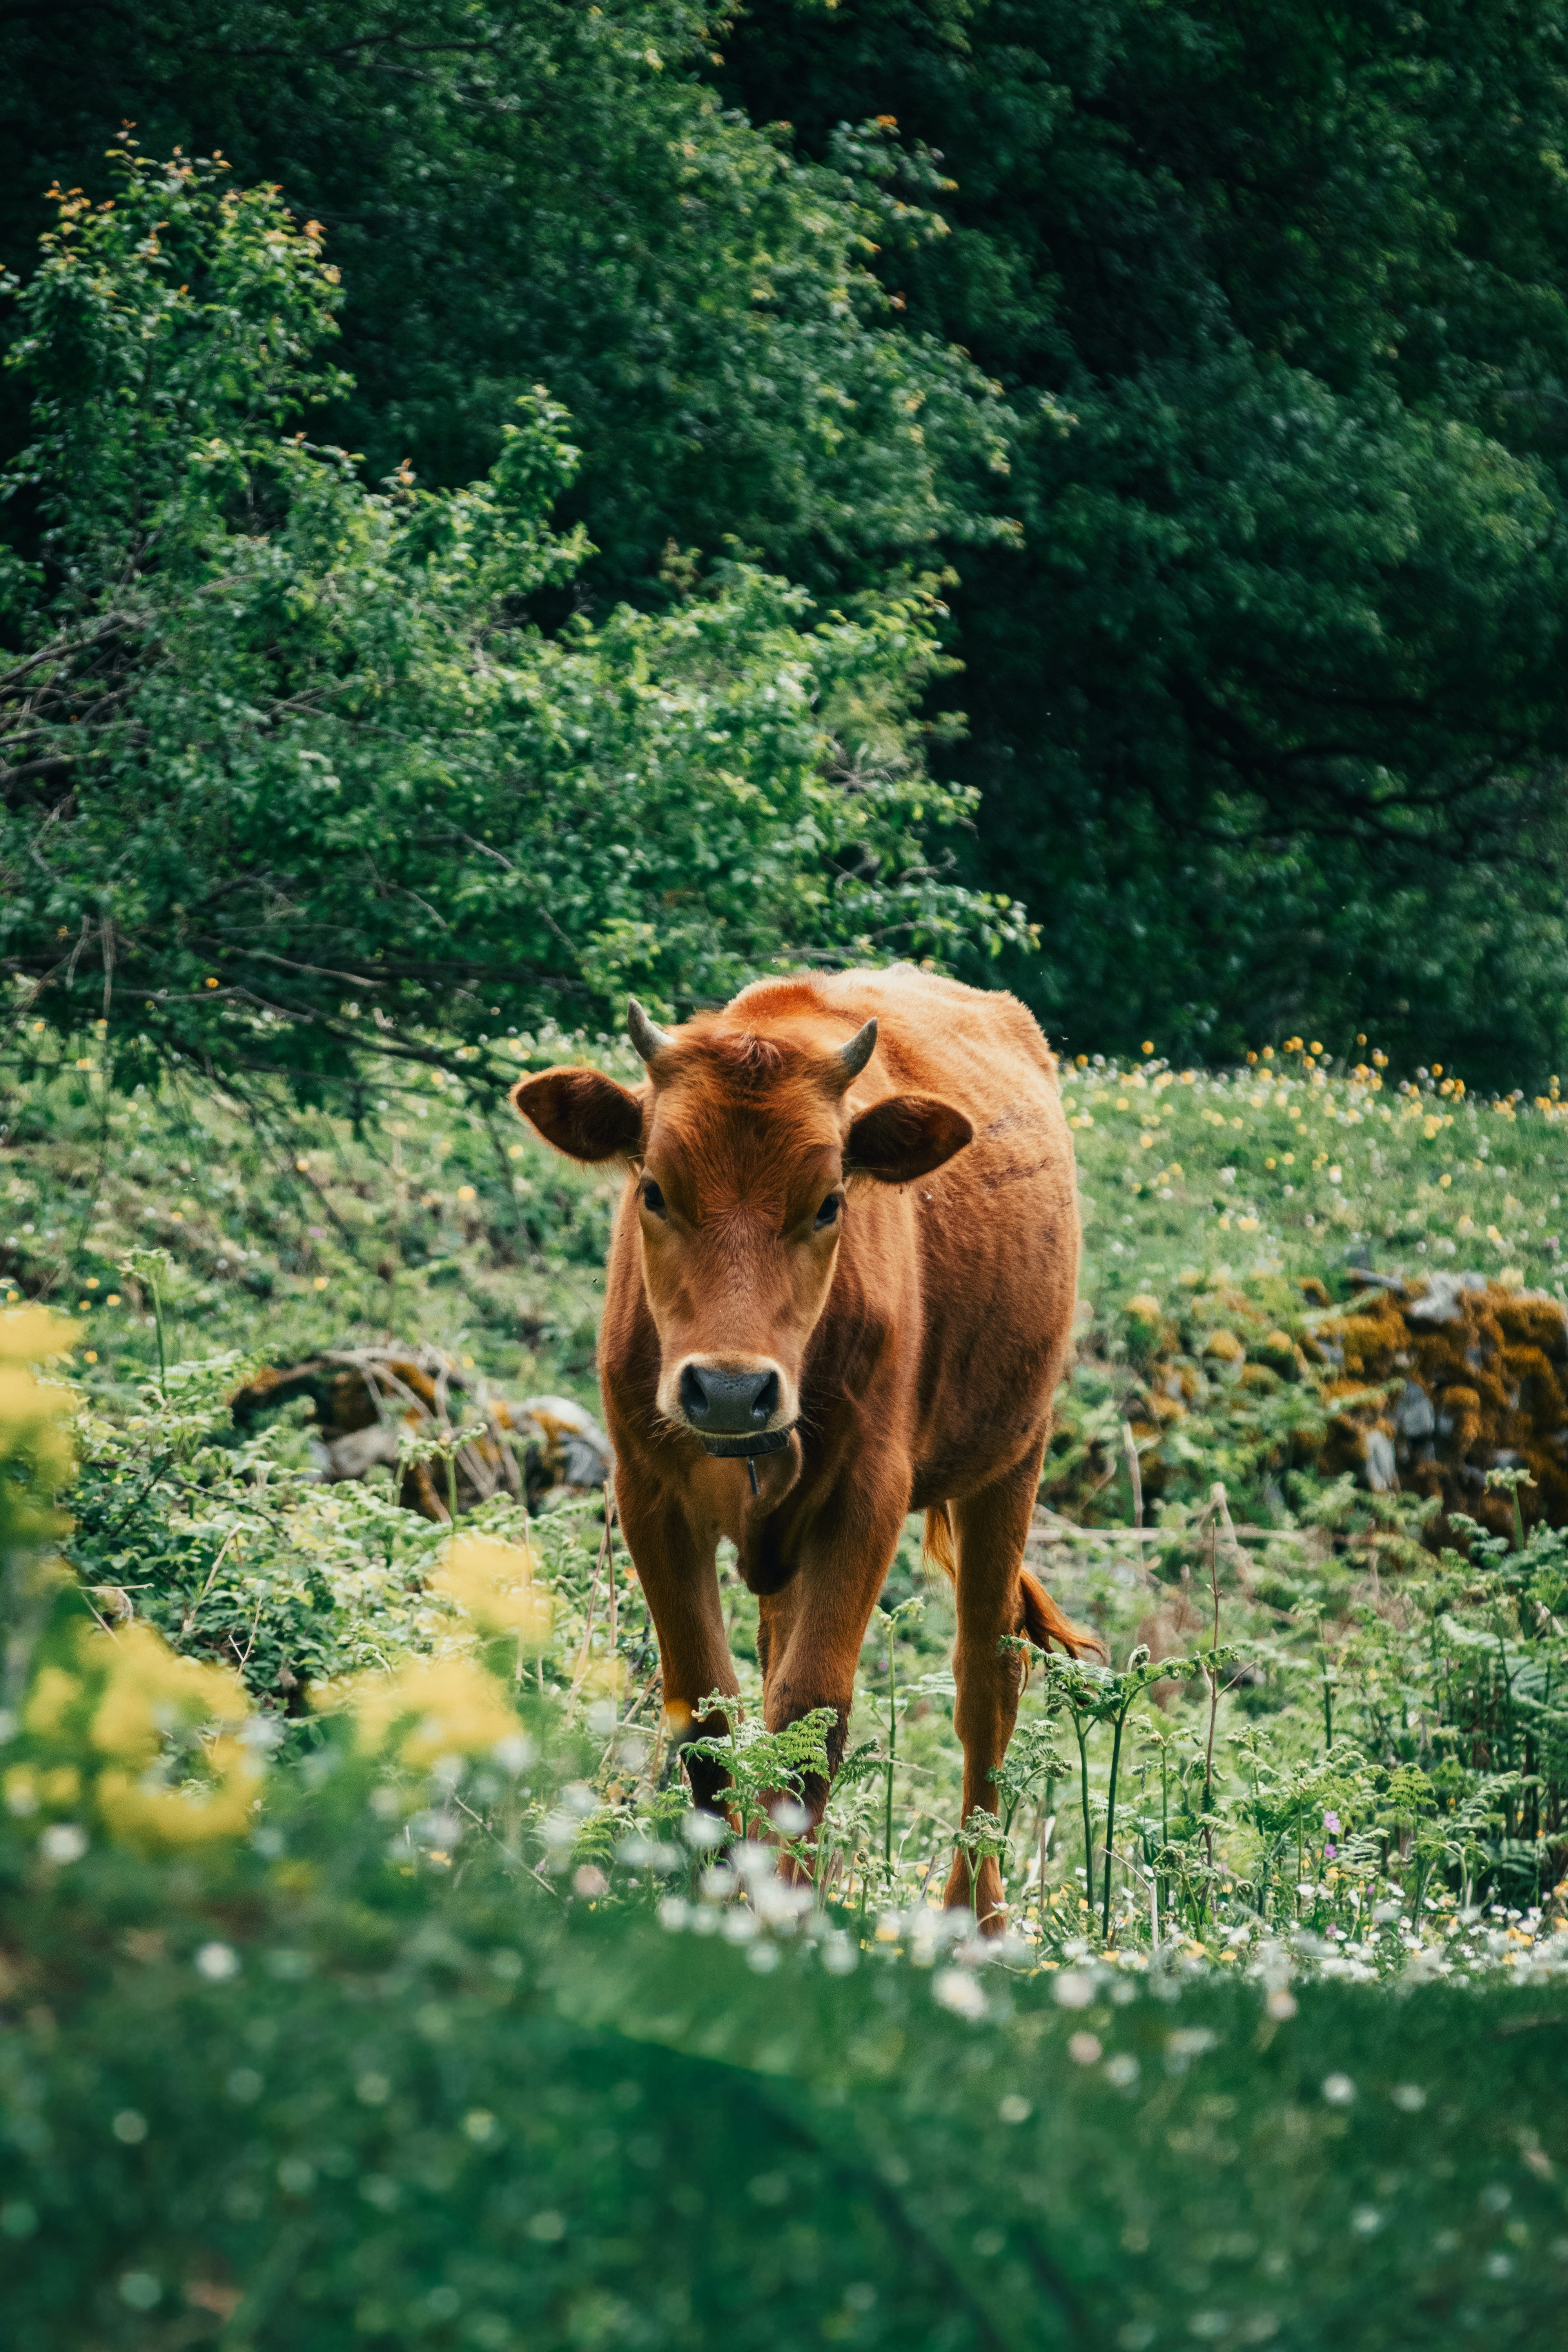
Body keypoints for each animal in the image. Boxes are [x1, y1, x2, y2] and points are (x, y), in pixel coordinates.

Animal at [510, 965, 1101, 1930]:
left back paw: (973, 1918)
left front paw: (782, 1919)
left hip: (1012, 1460)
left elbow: (811, 1718)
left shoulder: (866, 1501)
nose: (728, 1389)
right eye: (653, 1190)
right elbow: (710, 1720)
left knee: (987, 1687)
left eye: (829, 1203)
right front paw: (728, 1903)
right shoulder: (648, 1498)